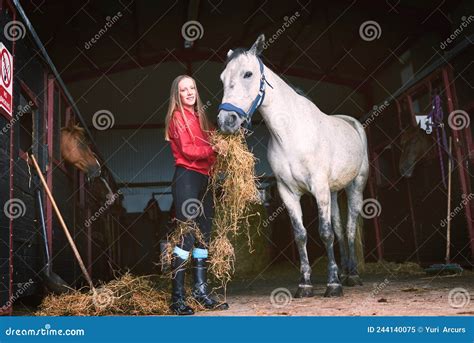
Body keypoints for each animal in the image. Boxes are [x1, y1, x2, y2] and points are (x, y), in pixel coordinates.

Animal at [217, 35, 368, 298]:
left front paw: (332, 285)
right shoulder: (288, 192)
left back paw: (352, 276)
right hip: (333, 191)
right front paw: (305, 285)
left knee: (349, 228)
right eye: (223, 78)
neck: (291, 133)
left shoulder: (319, 188)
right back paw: (345, 272)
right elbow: (301, 235)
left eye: (248, 74)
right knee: (340, 228)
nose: (226, 121)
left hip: (355, 185)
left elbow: (325, 233)